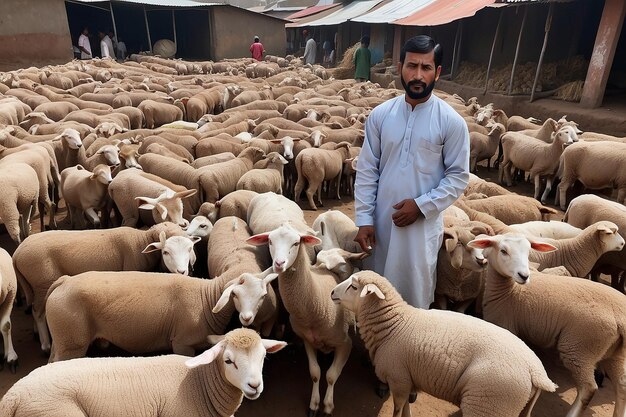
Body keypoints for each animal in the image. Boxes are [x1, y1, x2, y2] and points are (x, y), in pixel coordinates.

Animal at [246, 223, 352, 416]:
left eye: (296, 243)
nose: (279, 264)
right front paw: (314, 405)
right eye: (270, 241)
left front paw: (327, 406)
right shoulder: (308, 341)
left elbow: (331, 376)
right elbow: (315, 373)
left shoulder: (345, 344)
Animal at [332, 270, 556, 416]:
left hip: (489, 404)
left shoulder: (398, 379)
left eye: (353, 286)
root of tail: (535, 371)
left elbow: (397, 410)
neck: (394, 323)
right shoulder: (408, 379)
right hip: (517, 407)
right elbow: (406, 409)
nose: (332, 292)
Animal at [466, 232, 624, 416]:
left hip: (580, 348)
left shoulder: (505, 325)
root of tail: (620, 316)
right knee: (622, 384)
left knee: (589, 388)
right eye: (503, 251)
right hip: (614, 352)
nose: (524, 275)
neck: (510, 291)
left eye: (528, 252)